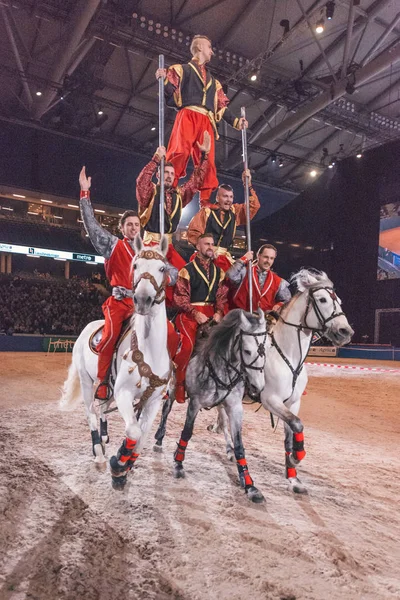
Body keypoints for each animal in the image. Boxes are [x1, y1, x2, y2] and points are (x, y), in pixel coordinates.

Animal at [60, 233, 171, 488]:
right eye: (135, 266)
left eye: (162, 268)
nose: (142, 299)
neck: (149, 351)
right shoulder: (124, 393)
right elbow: (133, 432)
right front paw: (118, 463)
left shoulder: (152, 401)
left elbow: (142, 437)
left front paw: (126, 465)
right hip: (87, 381)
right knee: (91, 412)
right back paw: (99, 453)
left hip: (107, 388)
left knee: (101, 409)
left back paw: (104, 437)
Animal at [216, 270, 354, 494]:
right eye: (322, 299)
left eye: (339, 301)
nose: (345, 332)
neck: (288, 356)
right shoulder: (270, 400)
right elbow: (297, 425)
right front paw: (297, 458)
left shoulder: (293, 403)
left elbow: (291, 434)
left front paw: (293, 477)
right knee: (224, 416)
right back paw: (229, 448)